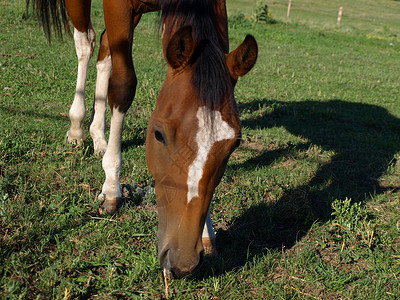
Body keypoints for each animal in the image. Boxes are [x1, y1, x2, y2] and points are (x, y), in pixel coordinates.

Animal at [28, 0, 260, 278]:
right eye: (158, 135)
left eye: (234, 144)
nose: (183, 260)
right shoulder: (117, 7)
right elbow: (123, 85)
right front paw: (112, 187)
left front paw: (207, 231)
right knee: (87, 43)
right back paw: (77, 129)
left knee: (104, 50)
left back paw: (99, 136)